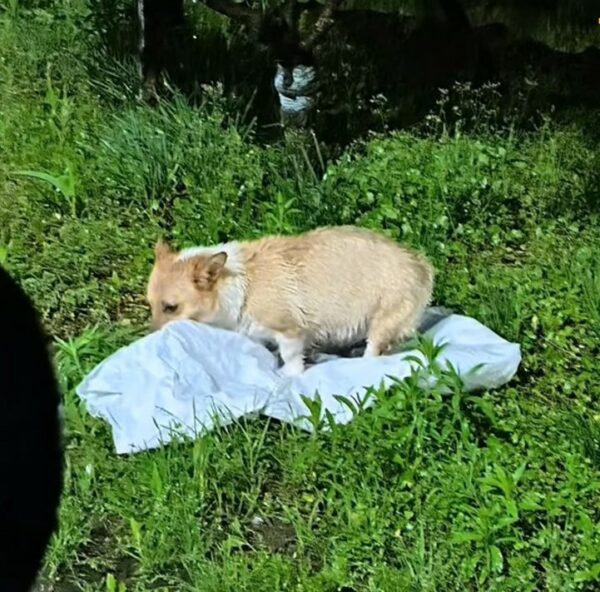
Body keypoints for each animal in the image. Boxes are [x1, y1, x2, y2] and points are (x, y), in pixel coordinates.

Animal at [148, 225, 434, 374]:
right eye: (150, 305)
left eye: (171, 307)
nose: (151, 338)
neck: (237, 285)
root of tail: (423, 266)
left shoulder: (289, 331)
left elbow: (291, 357)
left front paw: (289, 374)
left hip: (383, 322)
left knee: (374, 352)